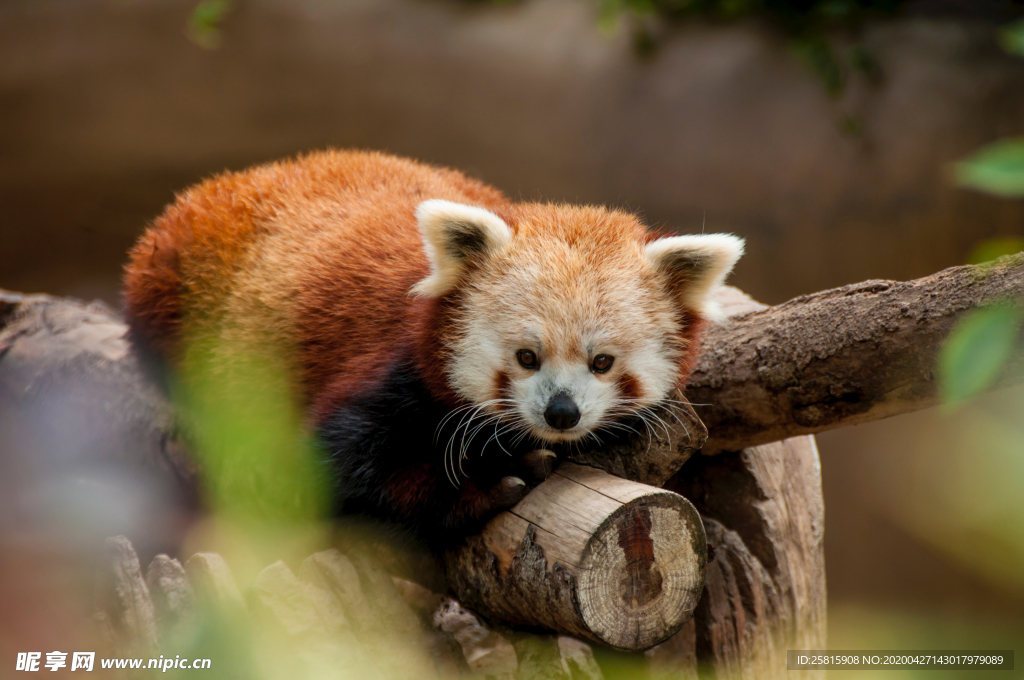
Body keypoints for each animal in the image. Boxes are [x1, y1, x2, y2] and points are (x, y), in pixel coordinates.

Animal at [123, 150, 745, 548]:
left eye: (602, 362)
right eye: (526, 357)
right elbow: (333, 471)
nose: (561, 413)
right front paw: (487, 485)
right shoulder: (389, 370)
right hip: (176, 287)